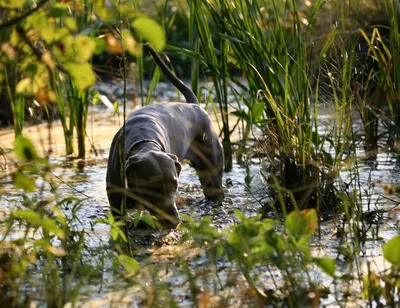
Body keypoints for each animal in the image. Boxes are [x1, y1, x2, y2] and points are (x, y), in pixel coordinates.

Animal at [106, 42, 225, 226]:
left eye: (175, 184)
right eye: (151, 187)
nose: (174, 220)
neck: (144, 142)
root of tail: (195, 105)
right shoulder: (116, 200)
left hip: (211, 168)